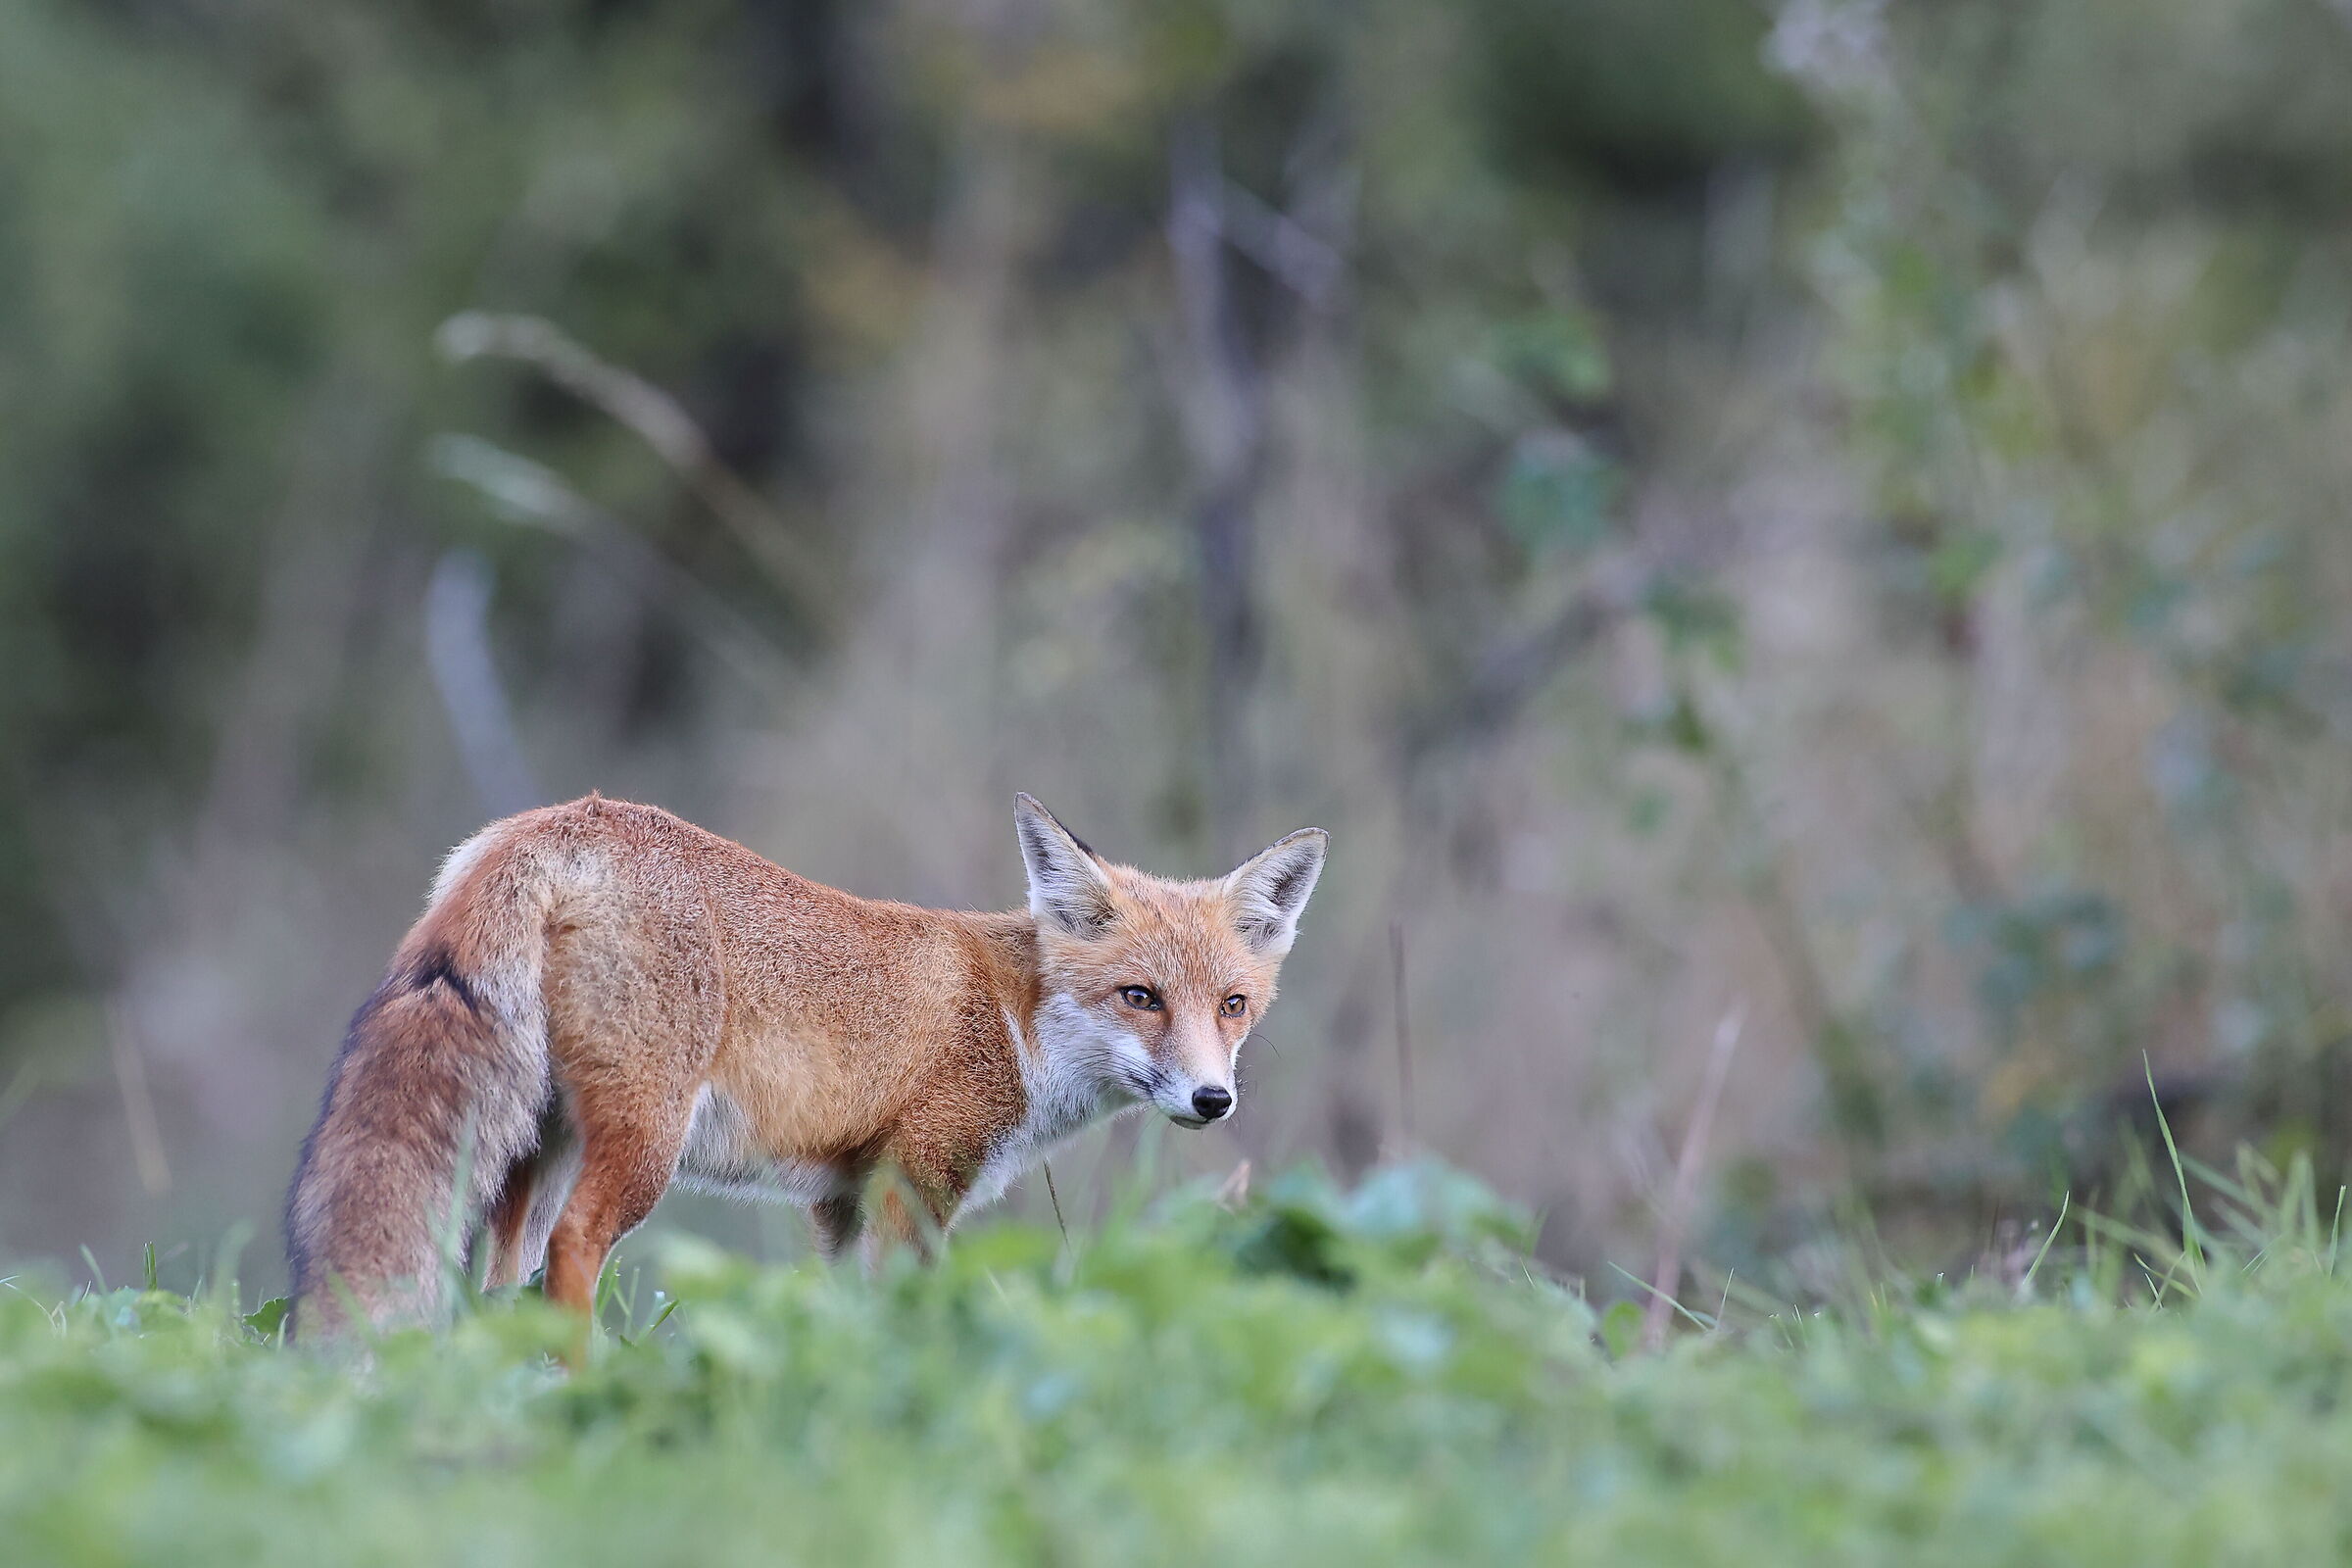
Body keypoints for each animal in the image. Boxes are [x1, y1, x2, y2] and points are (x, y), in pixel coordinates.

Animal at [284, 791, 1326, 1339]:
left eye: (1233, 1006)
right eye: (1140, 998)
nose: (1213, 1098)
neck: (1016, 1023)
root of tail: (557, 824)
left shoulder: (842, 1200)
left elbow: (841, 1316)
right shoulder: (917, 1181)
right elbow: (908, 1309)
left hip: (540, 1149)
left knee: (500, 1280)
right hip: (640, 1142)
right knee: (571, 1253)